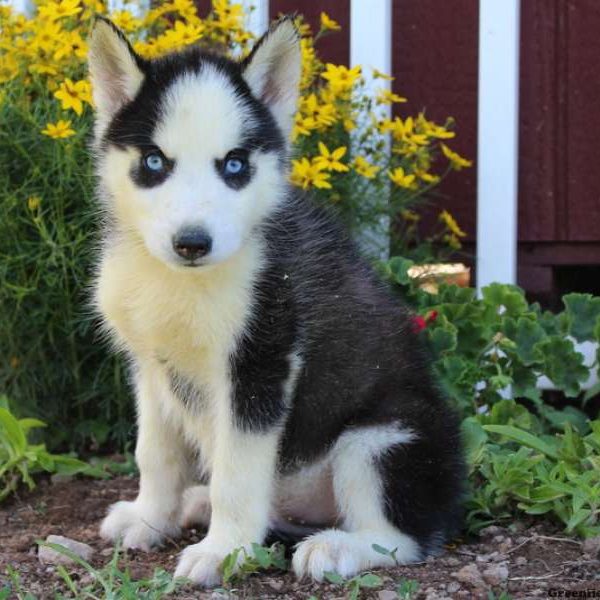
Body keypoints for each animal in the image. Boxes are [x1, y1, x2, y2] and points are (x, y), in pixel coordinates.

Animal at [88, 15, 464, 584]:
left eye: (234, 165)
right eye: (154, 161)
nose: (192, 243)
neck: (181, 281)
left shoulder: (261, 363)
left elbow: (237, 474)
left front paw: (223, 553)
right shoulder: (152, 366)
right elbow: (154, 452)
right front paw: (151, 518)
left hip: (383, 435)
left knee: (406, 537)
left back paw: (336, 548)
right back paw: (199, 505)